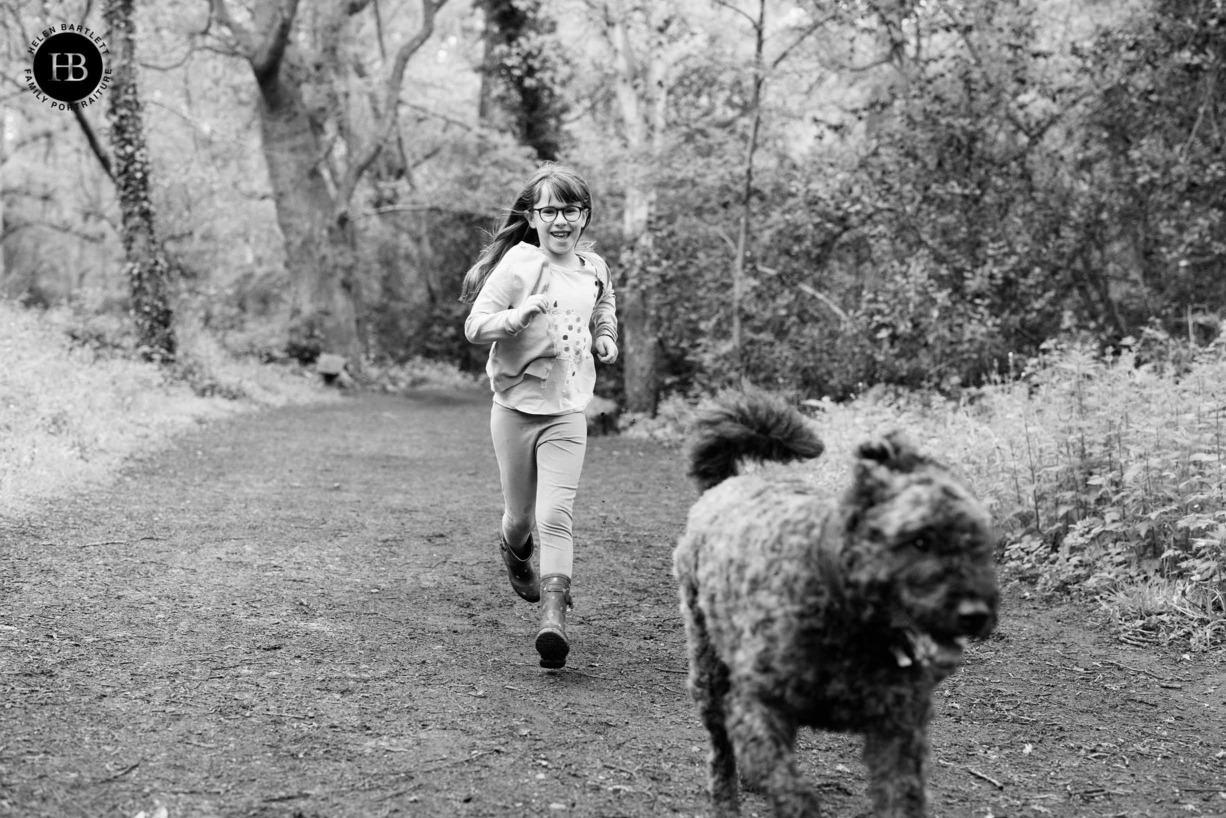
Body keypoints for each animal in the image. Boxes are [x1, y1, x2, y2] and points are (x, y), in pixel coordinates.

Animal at [676, 392, 1000, 818]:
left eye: (979, 542)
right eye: (919, 540)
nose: (974, 613)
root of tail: (728, 482)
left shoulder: (898, 732)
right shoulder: (757, 707)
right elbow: (793, 791)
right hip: (710, 676)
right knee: (720, 754)